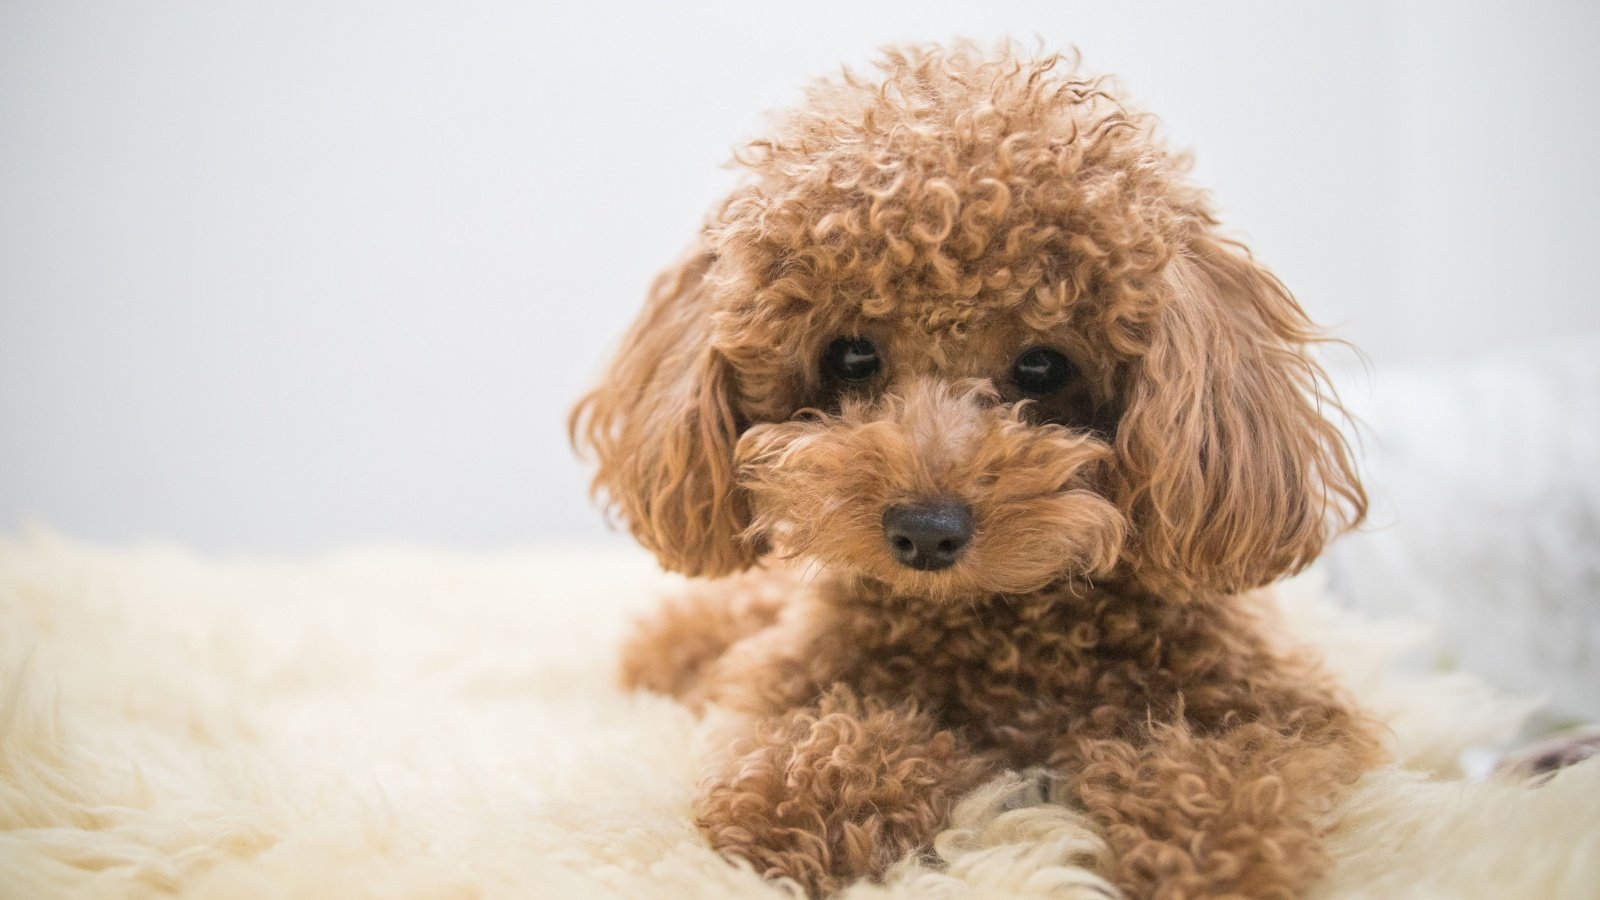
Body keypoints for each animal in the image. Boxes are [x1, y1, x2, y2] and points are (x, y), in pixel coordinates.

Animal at [576, 45, 1388, 896]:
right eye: (851, 355)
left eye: (1042, 365)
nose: (927, 532)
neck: (999, 627)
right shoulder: (784, 683)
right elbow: (827, 734)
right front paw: (794, 800)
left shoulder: (1288, 709)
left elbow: (1226, 763)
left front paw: (1219, 854)